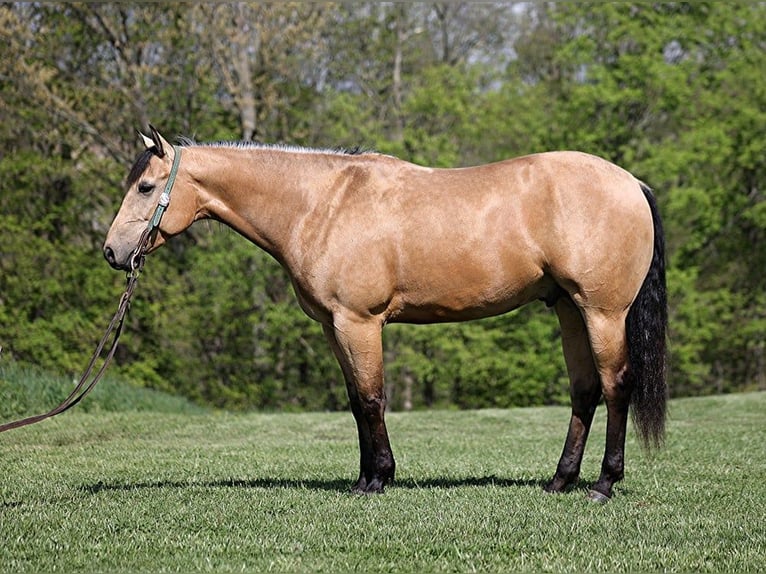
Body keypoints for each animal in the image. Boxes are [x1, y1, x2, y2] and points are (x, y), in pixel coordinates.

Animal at [105, 124, 668, 502]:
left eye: (146, 187)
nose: (112, 252)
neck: (322, 205)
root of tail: (632, 183)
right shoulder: (334, 327)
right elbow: (357, 402)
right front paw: (365, 476)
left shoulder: (360, 322)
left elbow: (374, 398)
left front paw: (377, 480)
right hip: (568, 309)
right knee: (584, 391)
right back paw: (560, 481)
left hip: (601, 311)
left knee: (616, 386)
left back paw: (603, 484)